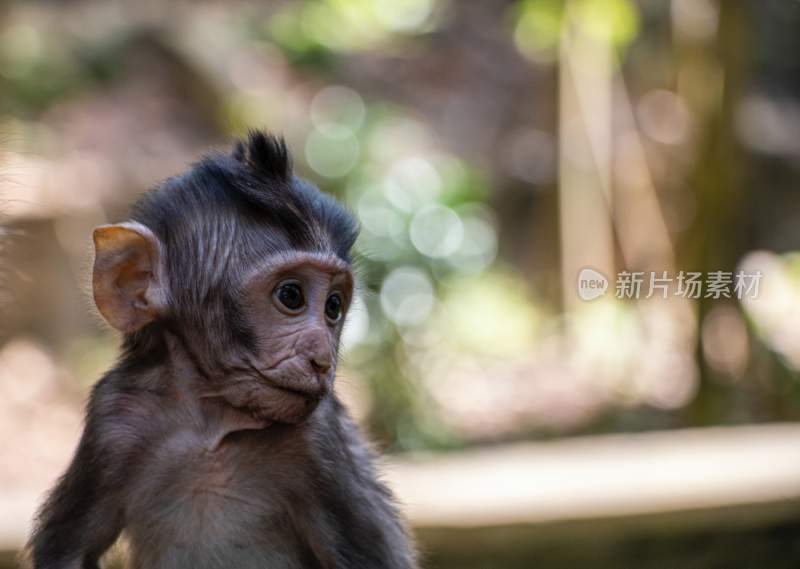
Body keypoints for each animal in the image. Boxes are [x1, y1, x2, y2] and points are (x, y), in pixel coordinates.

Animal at [25, 131, 418, 564]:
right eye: (291, 295)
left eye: (333, 306)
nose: (321, 358)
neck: (212, 423)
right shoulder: (112, 420)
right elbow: (67, 553)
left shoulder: (318, 441)